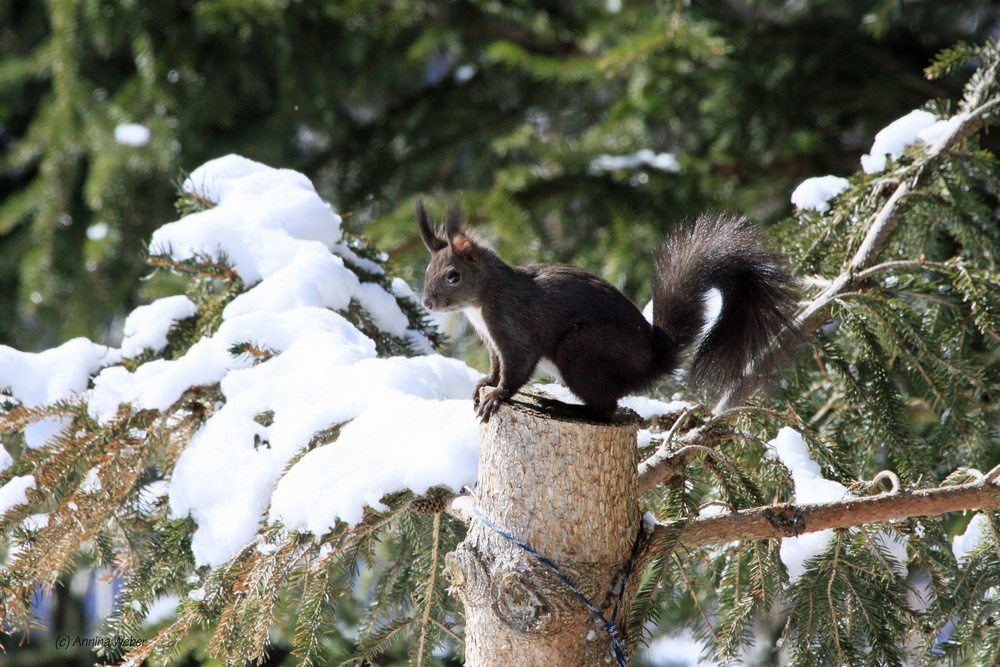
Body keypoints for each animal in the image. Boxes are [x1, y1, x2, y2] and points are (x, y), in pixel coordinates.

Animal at [418, 198, 800, 422]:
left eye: (453, 276)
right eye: (427, 270)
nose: (426, 303)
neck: (484, 298)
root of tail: (649, 363)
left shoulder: (515, 326)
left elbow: (517, 368)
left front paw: (497, 396)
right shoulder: (491, 341)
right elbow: (496, 366)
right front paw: (484, 383)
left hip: (582, 350)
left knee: (605, 409)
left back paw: (564, 407)